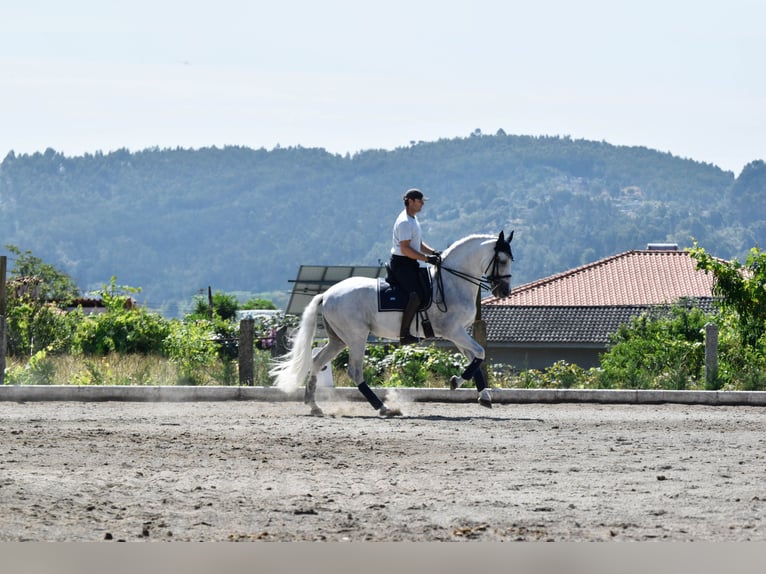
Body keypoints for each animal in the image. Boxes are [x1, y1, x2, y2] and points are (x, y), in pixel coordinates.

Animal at [270, 232, 516, 416]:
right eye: (502, 260)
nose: (504, 292)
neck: (452, 281)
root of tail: (328, 293)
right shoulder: (452, 331)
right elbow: (480, 353)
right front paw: (456, 382)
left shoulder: (458, 333)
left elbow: (474, 358)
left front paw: (484, 395)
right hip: (356, 337)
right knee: (355, 371)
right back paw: (383, 407)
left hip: (338, 339)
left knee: (316, 361)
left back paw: (314, 406)